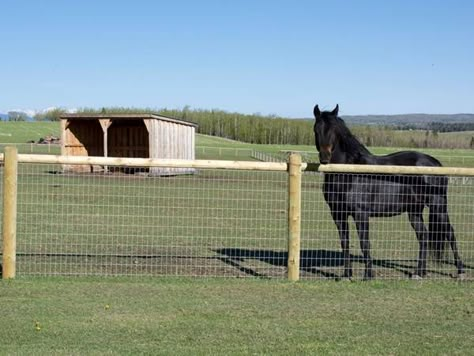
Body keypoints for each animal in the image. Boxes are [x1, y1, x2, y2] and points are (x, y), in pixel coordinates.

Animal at [312, 104, 464, 280]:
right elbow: (345, 243)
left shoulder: (360, 213)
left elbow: (365, 243)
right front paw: (346, 275)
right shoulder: (338, 213)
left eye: (335, 130)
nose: (324, 157)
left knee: (450, 233)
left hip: (438, 207)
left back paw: (460, 271)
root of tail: (436, 164)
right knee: (424, 236)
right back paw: (419, 273)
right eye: (316, 129)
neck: (349, 173)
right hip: (414, 211)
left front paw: (368, 276)